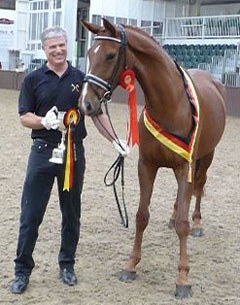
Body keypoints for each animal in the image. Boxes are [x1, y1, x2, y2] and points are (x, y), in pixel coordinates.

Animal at [79, 19, 227, 296]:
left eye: (110, 55)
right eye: (89, 54)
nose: (86, 104)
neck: (170, 105)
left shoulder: (184, 166)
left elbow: (183, 224)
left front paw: (183, 279)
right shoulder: (147, 166)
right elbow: (141, 216)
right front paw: (131, 265)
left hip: (206, 157)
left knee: (198, 188)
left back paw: (198, 224)